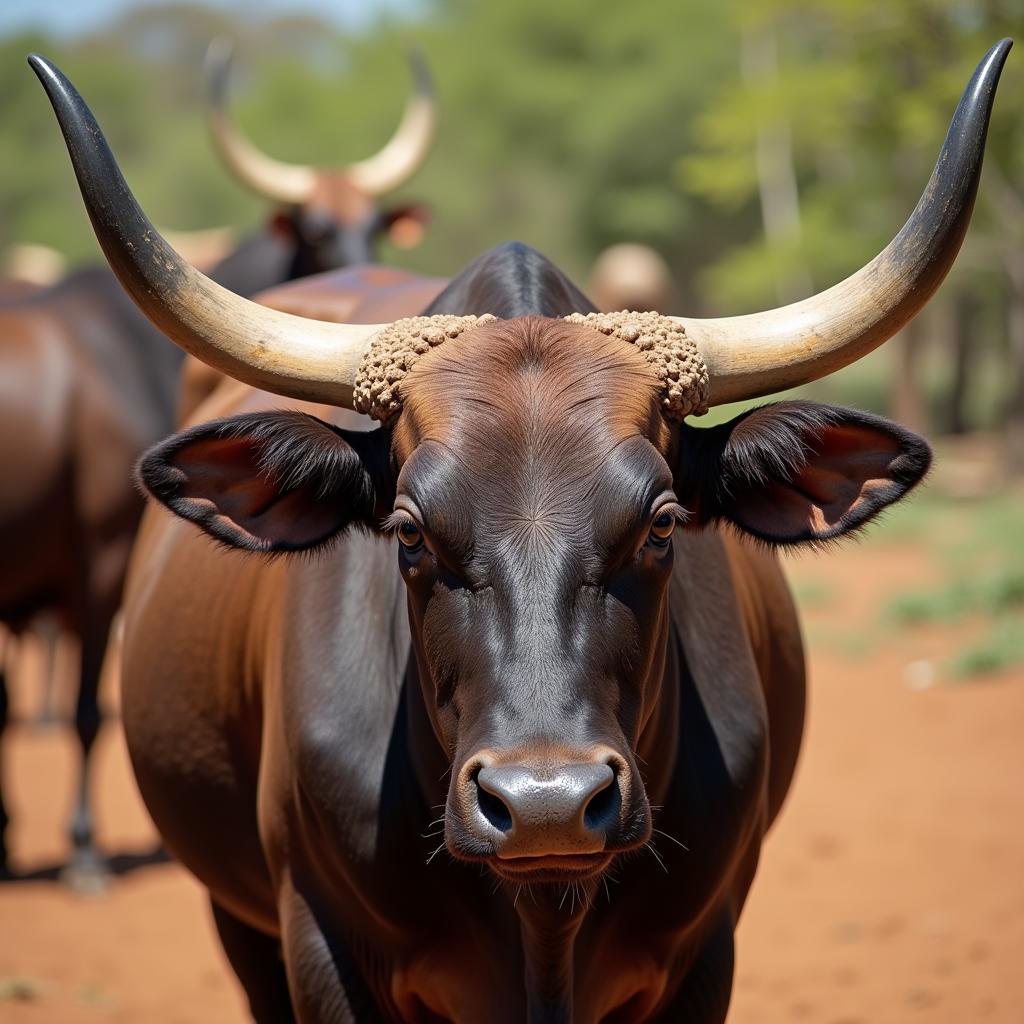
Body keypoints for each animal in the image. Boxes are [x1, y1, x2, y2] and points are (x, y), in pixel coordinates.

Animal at [32, 36, 1007, 1019]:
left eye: (662, 522)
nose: (547, 803)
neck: (544, 925)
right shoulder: (316, 942)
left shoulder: (705, 954)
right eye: (409, 530)